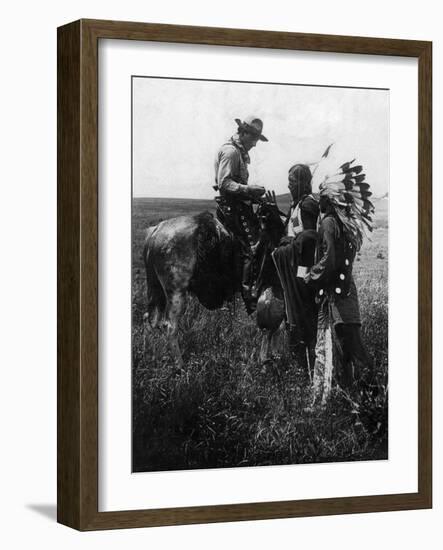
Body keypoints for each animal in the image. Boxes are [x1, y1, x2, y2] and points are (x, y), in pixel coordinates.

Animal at [144, 201, 286, 368]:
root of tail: (156, 231)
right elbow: (273, 327)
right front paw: (267, 358)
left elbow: (276, 327)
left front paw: (273, 355)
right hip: (176, 292)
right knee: (169, 326)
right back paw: (180, 365)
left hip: (157, 290)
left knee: (151, 320)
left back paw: (150, 354)